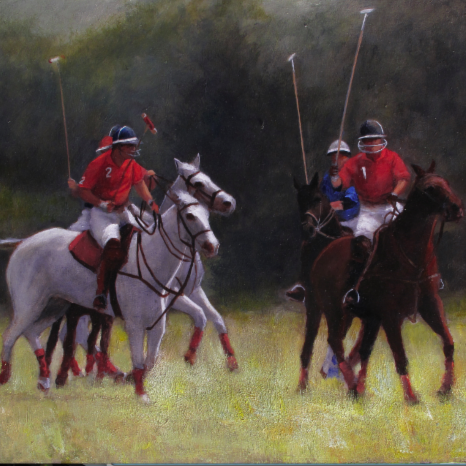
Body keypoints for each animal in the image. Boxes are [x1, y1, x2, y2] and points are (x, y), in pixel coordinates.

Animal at [0, 190, 219, 402]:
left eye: (207, 215)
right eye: (190, 216)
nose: (212, 246)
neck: (150, 260)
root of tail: (23, 243)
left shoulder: (157, 324)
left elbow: (150, 359)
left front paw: (130, 379)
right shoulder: (134, 324)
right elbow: (138, 359)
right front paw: (141, 395)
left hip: (54, 306)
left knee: (31, 333)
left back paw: (44, 381)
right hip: (29, 305)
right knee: (11, 335)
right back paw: (7, 376)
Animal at [310, 162, 463, 402]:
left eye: (446, 183)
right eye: (430, 188)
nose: (457, 208)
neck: (412, 256)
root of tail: (325, 252)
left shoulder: (430, 304)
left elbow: (448, 343)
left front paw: (445, 389)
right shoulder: (391, 315)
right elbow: (400, 357)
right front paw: (411, 398)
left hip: (361, 316)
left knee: (358, 349)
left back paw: (358, 387)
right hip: (333, 309)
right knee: (336, 342)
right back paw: (352, 386)